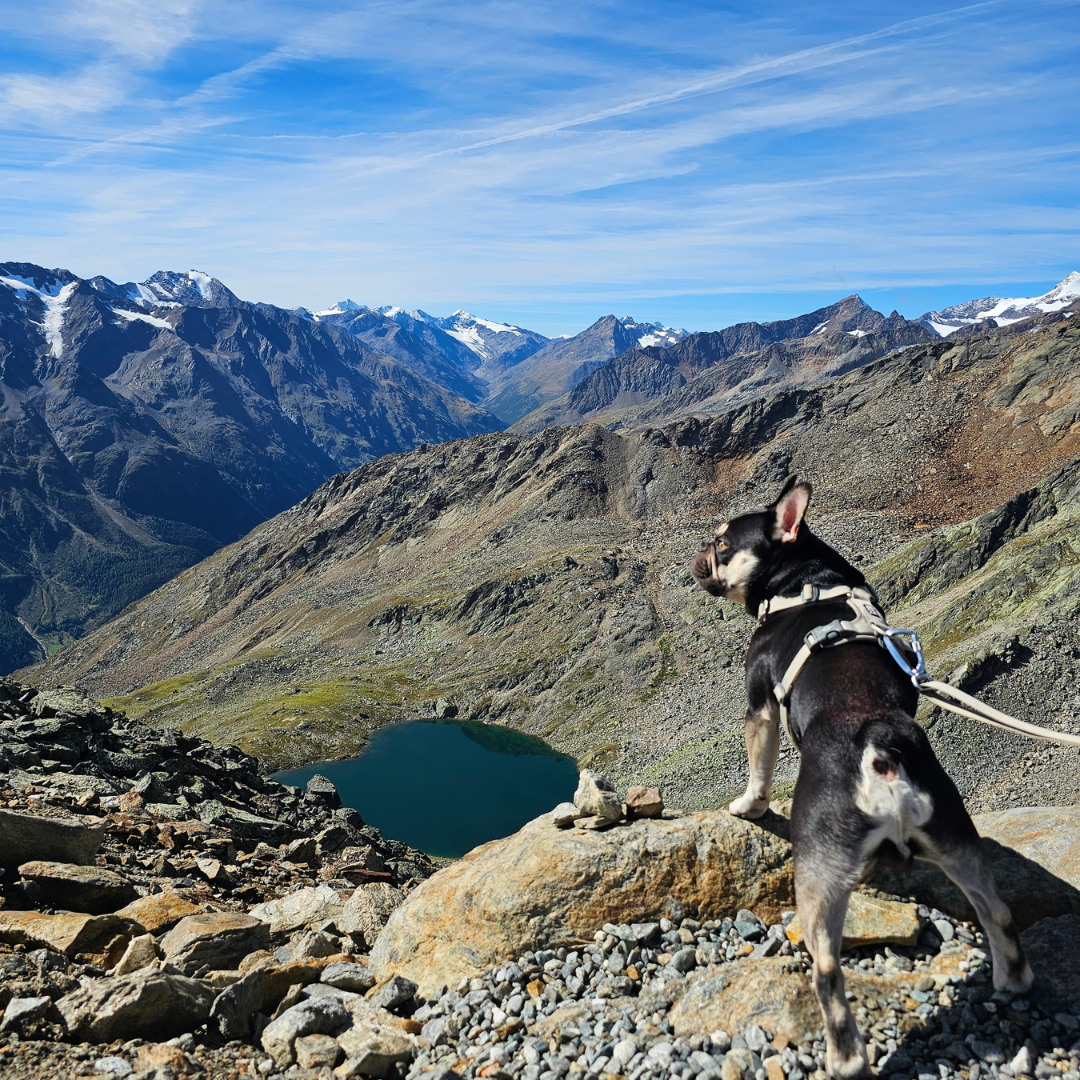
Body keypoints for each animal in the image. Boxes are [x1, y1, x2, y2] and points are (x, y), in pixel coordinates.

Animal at [690, 476, 1032, 1079]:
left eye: (723, 544)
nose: (695, 557)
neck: (806, 584)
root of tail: (878, 747)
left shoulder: (760, 705)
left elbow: (758, 766)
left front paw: (747, 807)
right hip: (955, 837)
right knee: (996, 909)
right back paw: (1013, 980)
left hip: (818, 870)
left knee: (827, 971)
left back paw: (844, 1058)